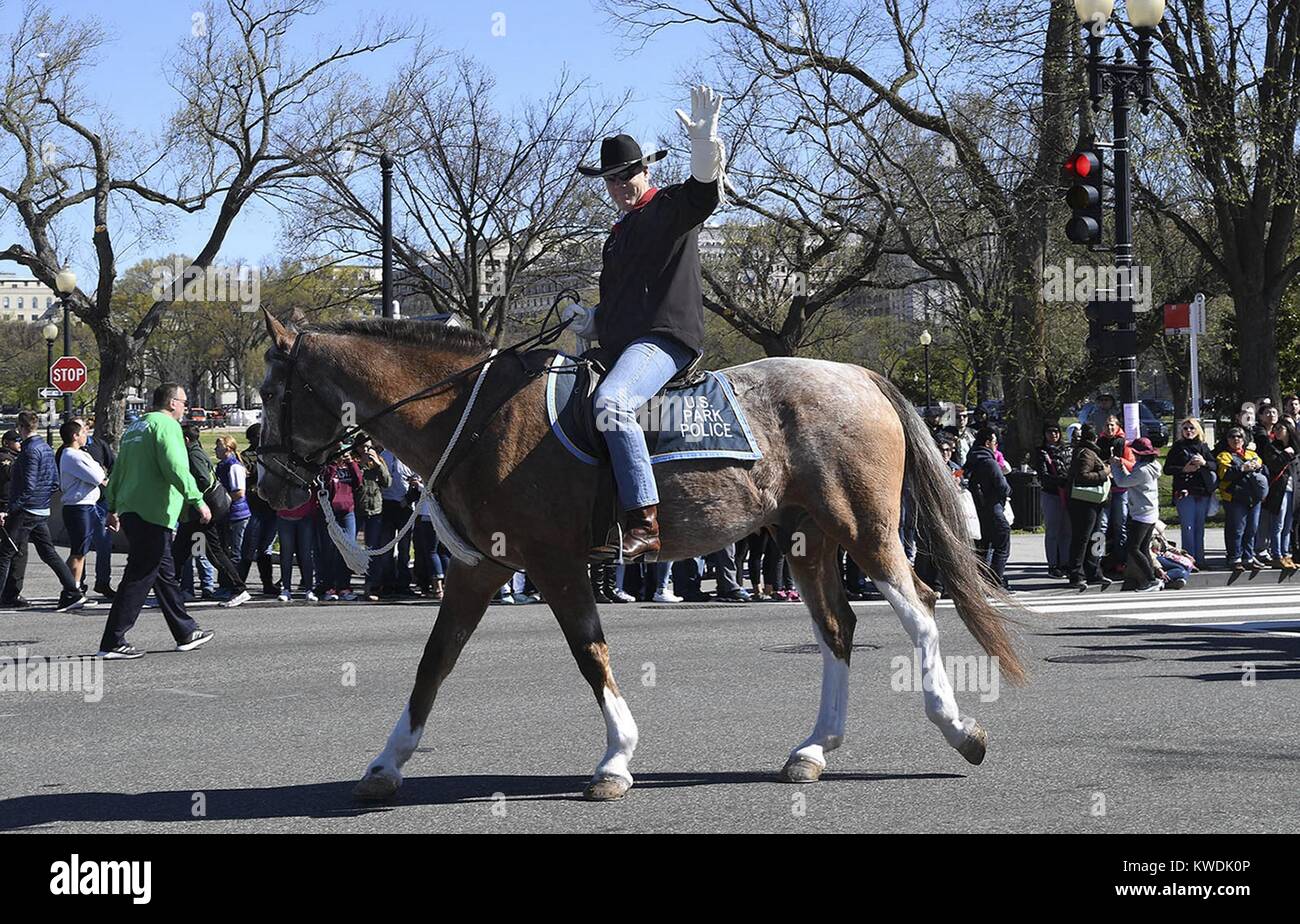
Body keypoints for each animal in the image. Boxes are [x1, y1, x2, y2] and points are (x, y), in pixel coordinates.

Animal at [253, 313, 1024, 800]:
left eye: (270, 392)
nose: (266, 484)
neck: (476, 417)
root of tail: (860, 376)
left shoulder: (554, 563)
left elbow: (589, 653)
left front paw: (617, 758)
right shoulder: (480, 569)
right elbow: (433, 663)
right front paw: (387, 762)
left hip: (864, 527)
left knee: (920, 608)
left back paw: (959, 729)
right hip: (806, 537)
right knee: (839, 629)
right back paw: (813, 749)